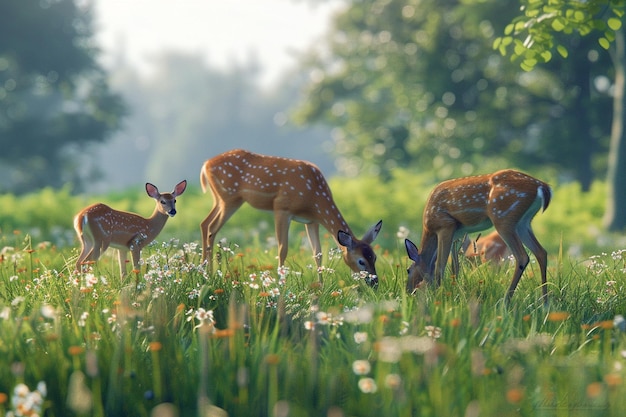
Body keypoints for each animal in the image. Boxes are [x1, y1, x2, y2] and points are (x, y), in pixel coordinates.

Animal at [199, 148, 380, 284]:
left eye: (375, 257)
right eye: (361, 261)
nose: (375, 283)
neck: (314, 198)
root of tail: (205, 164)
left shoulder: (312, 220)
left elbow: (317, 253)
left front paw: (321, 286)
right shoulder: (282, 207)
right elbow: (282, 249)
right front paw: (281, 284)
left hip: (220, 199)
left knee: (205, 223)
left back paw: (203, 270)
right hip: (229, 198)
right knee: (212, 227)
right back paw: (208, 273)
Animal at [402, 169, 548, 302]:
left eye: (408, 270)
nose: (409, 291)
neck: (429, 227)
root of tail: (542, 186)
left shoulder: (445, 226)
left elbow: (440, 266)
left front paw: (438, 296)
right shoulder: (457, 234)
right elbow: (455, 267)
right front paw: (453, 291)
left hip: (503, 217)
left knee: (522, 256)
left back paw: (505, 301)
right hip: (524, 222)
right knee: (541, 252)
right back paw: (544, 301)